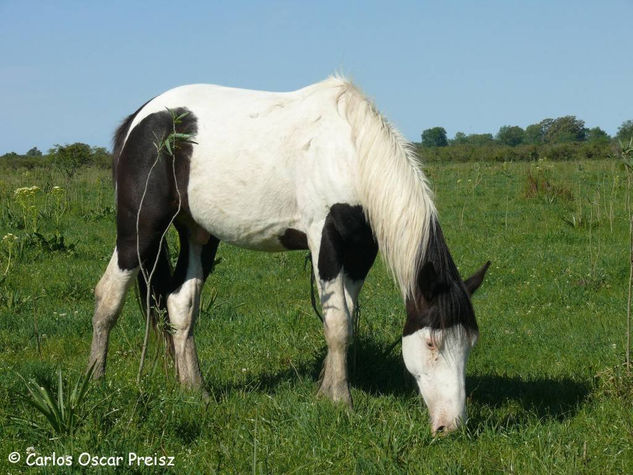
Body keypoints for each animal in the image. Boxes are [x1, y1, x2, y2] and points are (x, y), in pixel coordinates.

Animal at [87, 77, 488, 436]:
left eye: (470, 343)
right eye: (432, 342)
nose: (451, 426)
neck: (350, 152)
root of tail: (140, 117)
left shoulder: (361, 251)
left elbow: (346, 318)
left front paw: (325, 391)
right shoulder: (325, 241)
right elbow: (338, 324)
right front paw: (341, 402)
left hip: (197, 233)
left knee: (179, 303)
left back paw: (195, 391)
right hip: (140, 230)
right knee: (108, 296)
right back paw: (95, 380)